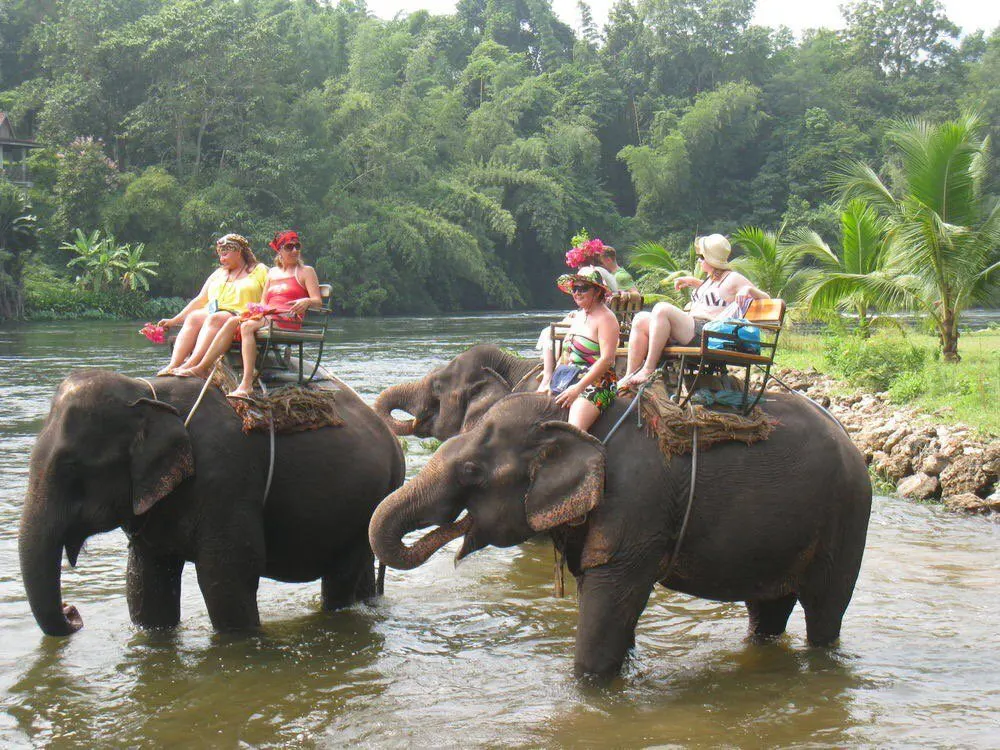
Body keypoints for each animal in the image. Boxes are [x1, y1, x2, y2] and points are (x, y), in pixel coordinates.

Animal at [20, 369, 405, 636]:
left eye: (70, 467)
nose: (72, 612)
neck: (147, 394)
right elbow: (146, 583)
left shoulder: (226, 477)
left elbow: (227, 574)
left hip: (370, 499)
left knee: (340, 579)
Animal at [369, 391, 872, 680]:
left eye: (472, 471)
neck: (575, 421)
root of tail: (853, 444)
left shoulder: (635, 502)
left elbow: (609, 598)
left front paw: (592, 688)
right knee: (766, 610)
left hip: (846, 520)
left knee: (825, 611)